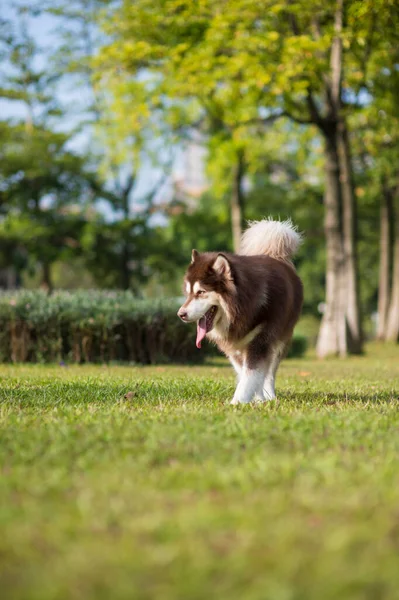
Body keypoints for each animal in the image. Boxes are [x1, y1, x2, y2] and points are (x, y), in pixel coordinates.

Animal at [177, 218, 304, 406]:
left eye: (200, 292)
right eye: (188, 293)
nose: (181, 314)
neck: (242, 308)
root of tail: (274, 255)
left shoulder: (261, 341)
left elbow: (251, 375)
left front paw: (237, 402)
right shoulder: (234, 347)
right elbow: (247, 374)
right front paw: (255, 398)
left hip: (280, 339)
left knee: (270, 373)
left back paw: (270, 396)